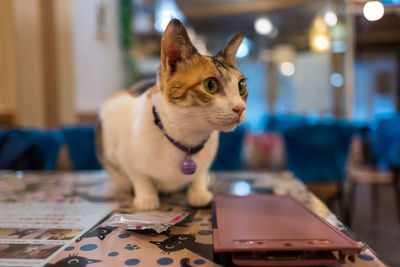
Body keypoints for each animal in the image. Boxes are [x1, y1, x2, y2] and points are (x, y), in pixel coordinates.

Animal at [98, 18, 247, 211]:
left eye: (241, 86)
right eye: (210, 85)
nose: (240, 108)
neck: (187, 136)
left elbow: (200, 174)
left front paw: (199, 192)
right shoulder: (116, 119)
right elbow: (138, 176)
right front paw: (147, 197)